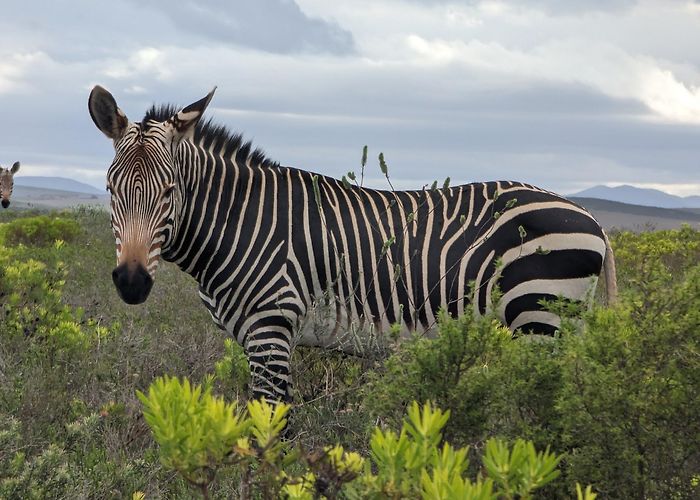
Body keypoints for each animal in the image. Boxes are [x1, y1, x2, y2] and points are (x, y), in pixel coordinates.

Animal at [87, 87, 616, 402]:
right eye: (111, 189)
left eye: (170, 191)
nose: (131, 282)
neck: (239, 221)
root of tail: (593, 220)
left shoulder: (271, 330)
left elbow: (268, 431)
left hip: (539, 317)